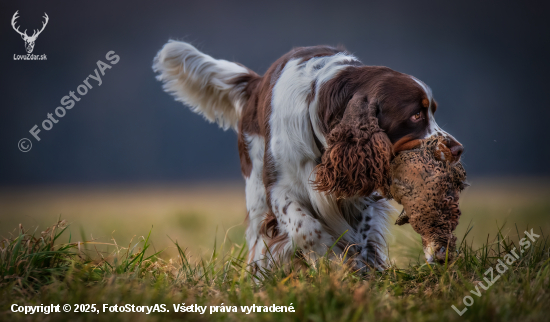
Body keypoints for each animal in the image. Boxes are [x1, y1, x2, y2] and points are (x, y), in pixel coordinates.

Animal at [154, 41, 466, 270]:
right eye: (415, 115)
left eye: (432, 111)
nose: (457, 148)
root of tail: (256, 83)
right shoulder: (279, 188)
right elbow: (307, 229)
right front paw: (328, 261)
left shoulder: (357, 195)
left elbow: (360, 237)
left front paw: (360, 270)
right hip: (255, 191)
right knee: (257, 239)